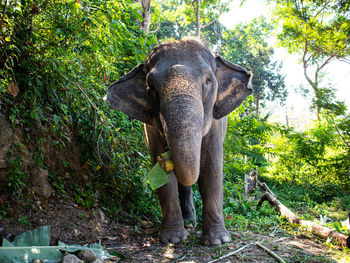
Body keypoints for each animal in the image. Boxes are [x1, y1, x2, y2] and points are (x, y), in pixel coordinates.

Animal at [105, 39, 253, 248]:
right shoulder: (151, 128)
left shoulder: (216, 125)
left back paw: (191, 221)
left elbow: (212, 168)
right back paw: (188, 221)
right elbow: (162, 172)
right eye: (150, 87)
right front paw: (173, 239)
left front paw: (217, 241)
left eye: (208, 80)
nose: (168, 156)